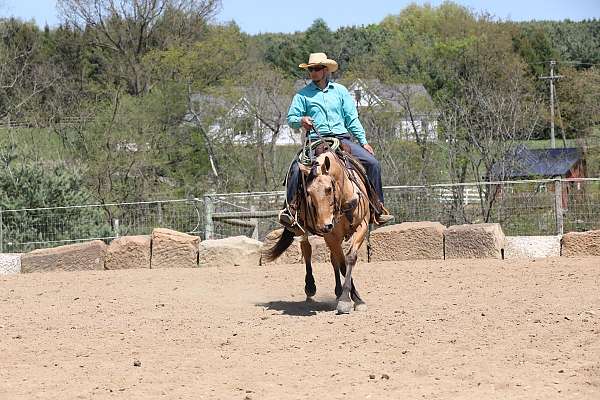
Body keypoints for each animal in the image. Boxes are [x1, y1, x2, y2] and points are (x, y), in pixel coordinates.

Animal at [264, 142, 376, 314]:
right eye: (308, 192)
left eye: (329, 189)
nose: (324, 225)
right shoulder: (331, 235)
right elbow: (342, 264)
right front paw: (347, 300)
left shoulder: (361, 225)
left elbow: (349, 258)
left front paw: (356, 300)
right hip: (301, 228)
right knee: (307, 250)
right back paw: (310, 287)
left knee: (332, 257)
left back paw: (337, 291)